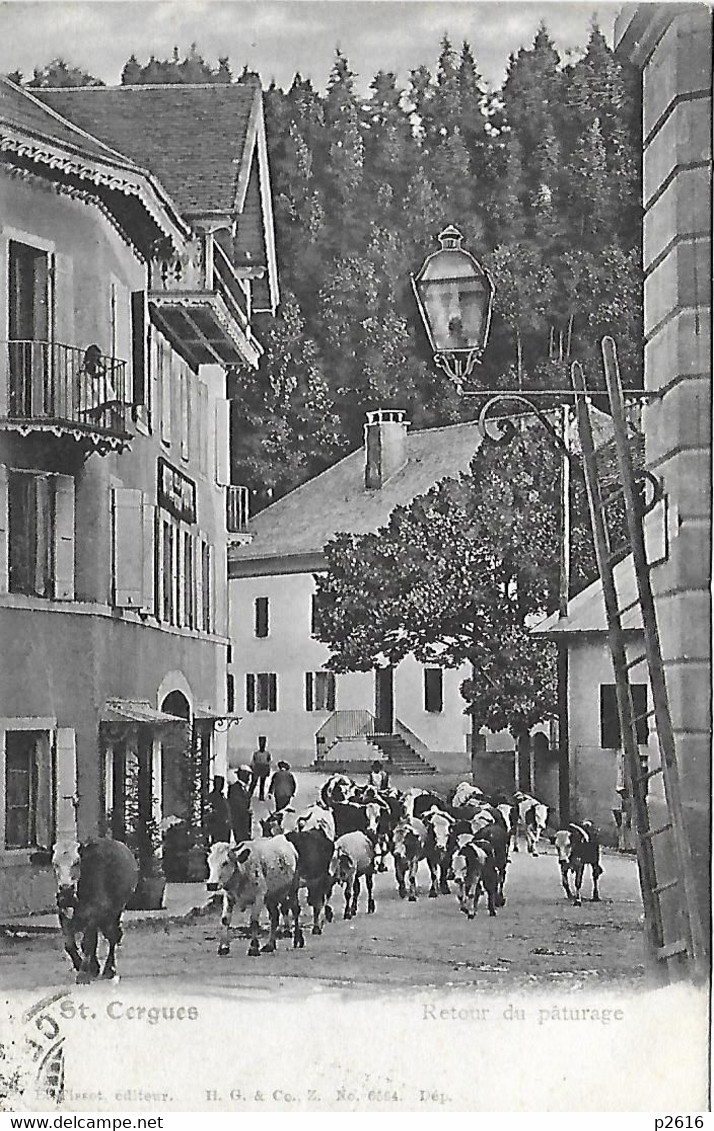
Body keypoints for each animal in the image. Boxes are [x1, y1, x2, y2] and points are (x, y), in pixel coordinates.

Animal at [52, 836, 139, 986]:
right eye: (55, 864)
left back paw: (109, 969)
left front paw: (83, 974)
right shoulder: (63, 915)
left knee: (113, 936)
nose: (66, 889)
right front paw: (84, 966)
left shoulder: (94, 914)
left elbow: (88, 943)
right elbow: (69, 945)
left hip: (115, 912)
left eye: (77, 862)